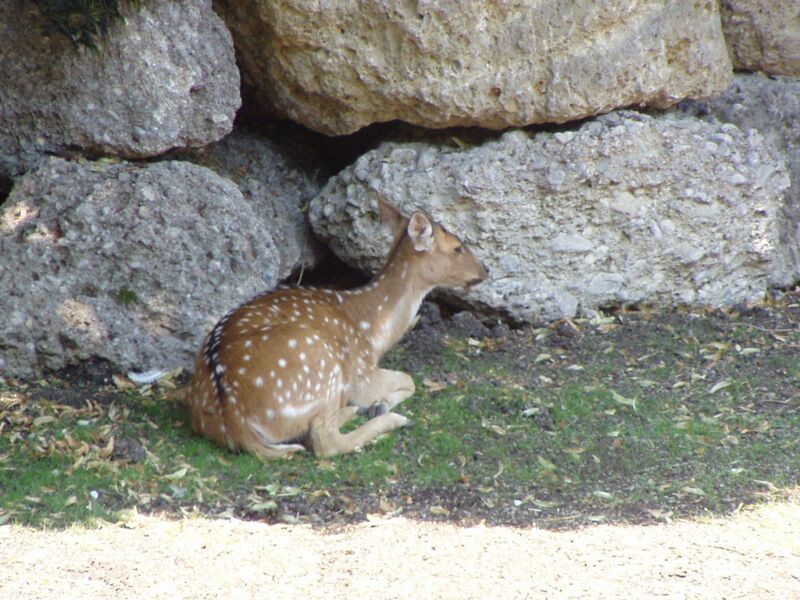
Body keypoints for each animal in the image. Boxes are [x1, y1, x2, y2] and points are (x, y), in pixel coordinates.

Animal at [186, 202, 488, 460]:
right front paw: (380, 405)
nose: (485, 269)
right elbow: (410, 379)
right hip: (322, 367)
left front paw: (380, 403)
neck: (373, 332)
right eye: (457, 247)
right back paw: (388, 418)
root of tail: (237, 424)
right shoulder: (362, 374)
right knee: (325, 441)